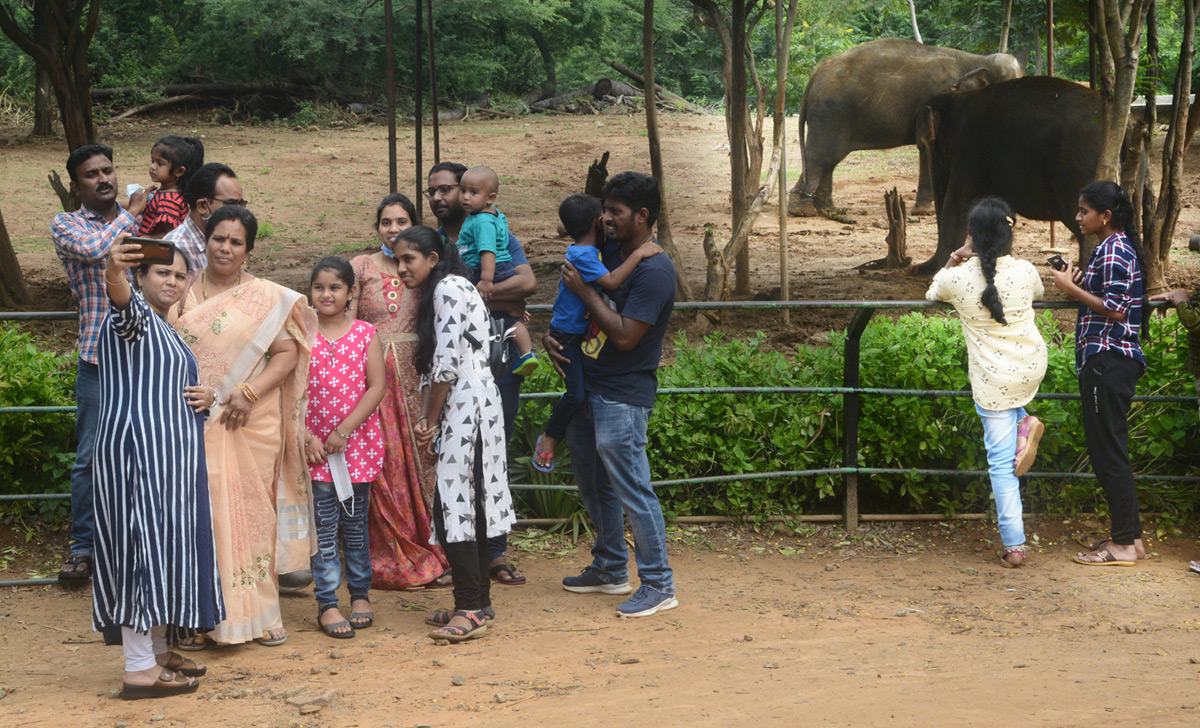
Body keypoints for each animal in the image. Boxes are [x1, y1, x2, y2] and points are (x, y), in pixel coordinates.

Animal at [787, 38, 1022, 218]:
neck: (977, 59)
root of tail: (815, 75)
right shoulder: (937, 101)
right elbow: (928, 146)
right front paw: (926, 212)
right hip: (830, 114)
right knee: (821, 157)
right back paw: (802, 211)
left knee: (829, 160)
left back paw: (829, 211)